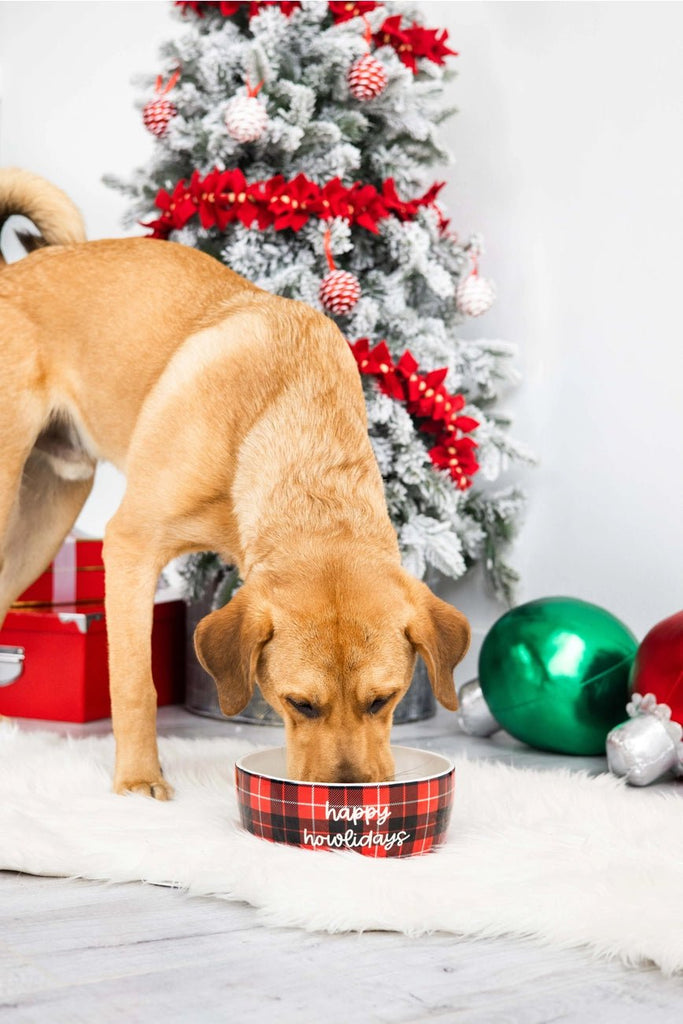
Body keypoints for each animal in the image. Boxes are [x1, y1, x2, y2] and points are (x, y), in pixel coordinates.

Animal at [0, 167, 471, 794]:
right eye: (300, 704)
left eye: (383, 700)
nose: (348, 792)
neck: (285, 418)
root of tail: (9, 273)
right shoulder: (131, 545)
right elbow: (135, 683)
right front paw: (138, 781)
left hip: (45, 519)